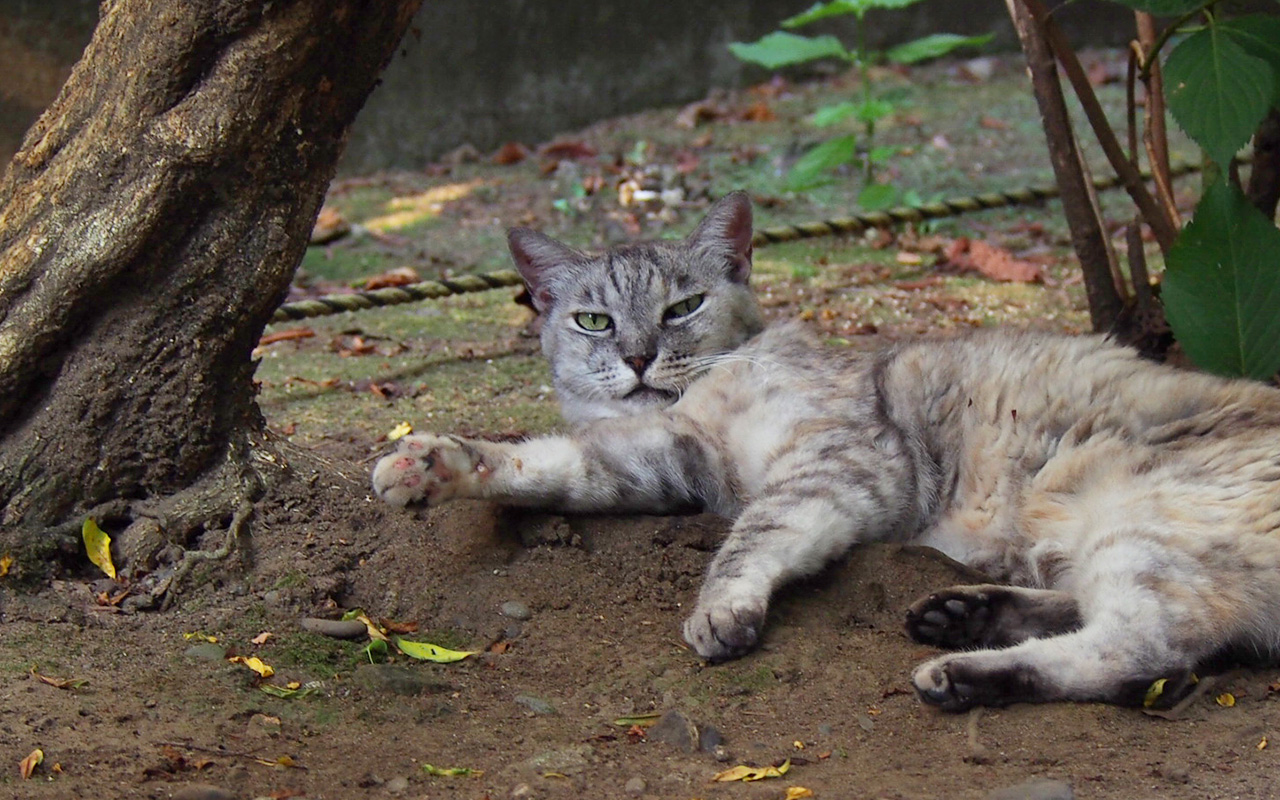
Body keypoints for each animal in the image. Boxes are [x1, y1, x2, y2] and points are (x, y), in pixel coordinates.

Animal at [373, 193, 1280, 711]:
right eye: (593, 321)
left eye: (682, 307)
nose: (636, 357)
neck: (705, 399)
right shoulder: (654, 460)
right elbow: (543, 464)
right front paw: (426, 465)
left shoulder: (842, 462)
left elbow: (755, 537)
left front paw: (723, 609)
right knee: (1137, 636)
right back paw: (969, 614)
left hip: (1147, 522)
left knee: (1147, 651)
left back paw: (966, 672)